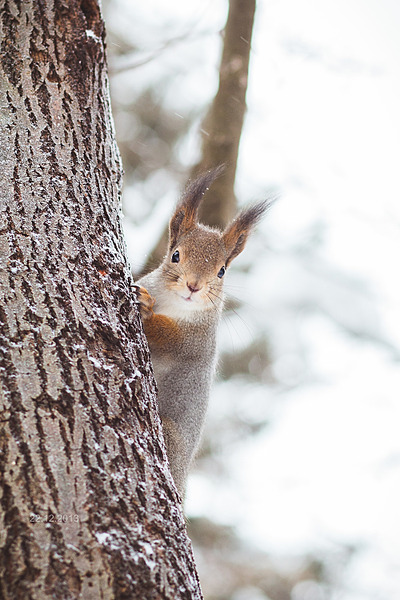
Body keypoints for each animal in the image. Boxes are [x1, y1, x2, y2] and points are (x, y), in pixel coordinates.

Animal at [138, 166, 268, 494]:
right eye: (176, 255)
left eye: (222, 270)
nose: (193, 286)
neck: (173, 304)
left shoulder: (198, 340)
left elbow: (172, 339)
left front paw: (146, 309)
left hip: (169, 436)